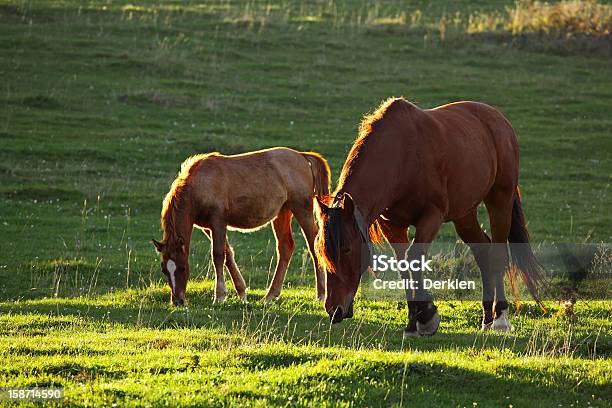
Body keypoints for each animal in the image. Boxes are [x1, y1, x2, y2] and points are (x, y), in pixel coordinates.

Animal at [153, 148, 330, 304]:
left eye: (183, 268)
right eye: (164, 270)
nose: (177, 301)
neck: (200, 183)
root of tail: (301, 156)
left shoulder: (218, 222)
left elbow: (218, 255)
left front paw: (219, 296)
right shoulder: (208, 228)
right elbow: (228, 254)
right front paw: (242, 293)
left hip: (302, 209)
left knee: (314, 245)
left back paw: (321, 294)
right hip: (283, 213)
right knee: (285, 247)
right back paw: (270, 296)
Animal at [316, 97, 544, 336]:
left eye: (346, 249)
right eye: (321, 251)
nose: (334, 309)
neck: (401, 156)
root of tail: (498, 119)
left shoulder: (431, 217)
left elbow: (414, 257)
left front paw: (426, 316)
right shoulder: (393, 226)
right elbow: (404, 265)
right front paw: (412, 322)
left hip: (500, 199)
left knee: (498, 252)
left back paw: (500, 318)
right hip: (464, 214)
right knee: (483, 251)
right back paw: (487, 318)